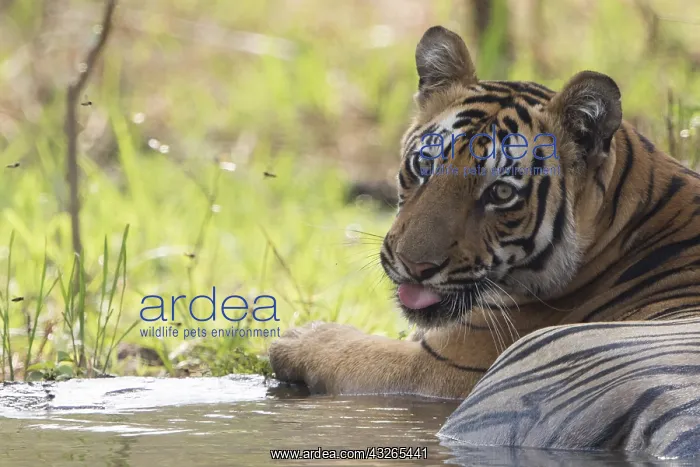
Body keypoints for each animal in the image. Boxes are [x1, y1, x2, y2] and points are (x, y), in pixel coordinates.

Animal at [268, 25, 700, 457]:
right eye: (423, 165)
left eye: (501, 193)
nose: (415, 266)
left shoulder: (440, 365)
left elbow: (359, 352)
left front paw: (300, 337)